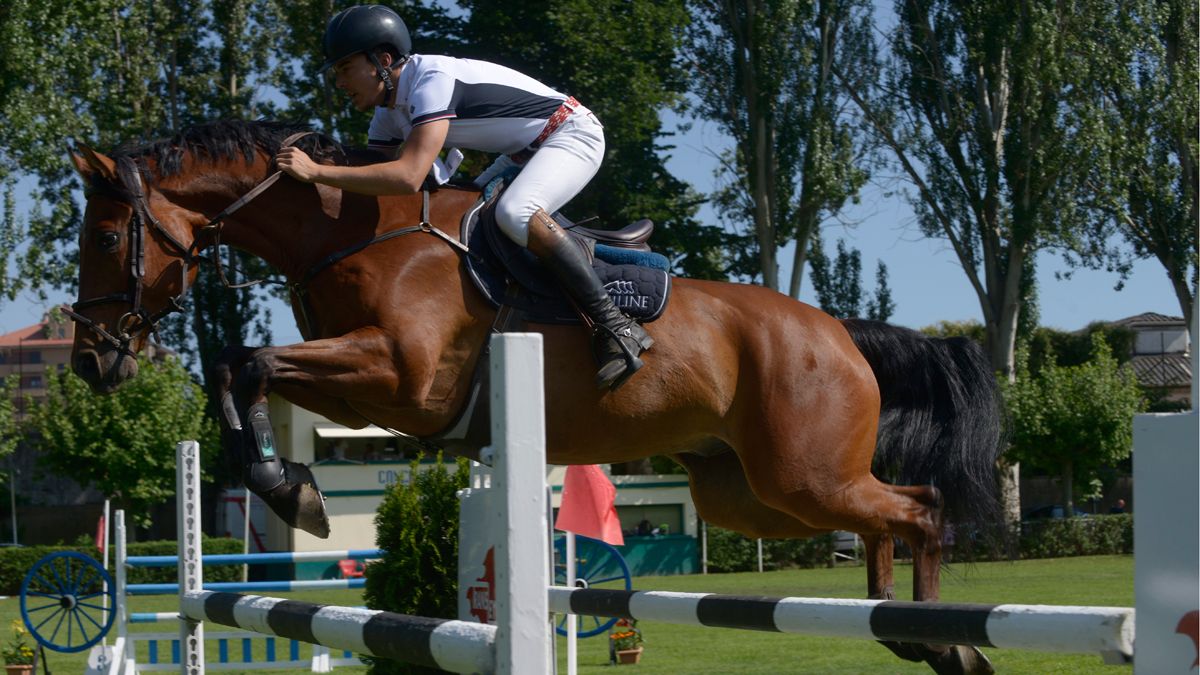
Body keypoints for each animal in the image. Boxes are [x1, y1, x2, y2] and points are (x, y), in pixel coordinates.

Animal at [68, 120, 1003, 672]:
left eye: (108, 237)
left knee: (917, 507)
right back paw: (901, 626)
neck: (355, 228)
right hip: (750, 493)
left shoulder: (402, 380)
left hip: (800, 474)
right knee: (882, 515)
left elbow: (248, 360)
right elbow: (236, 365)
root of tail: (840, 331)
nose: (89, 362)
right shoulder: (372, 387)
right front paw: (287, 485)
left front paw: (289, 490)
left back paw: (944, 641)